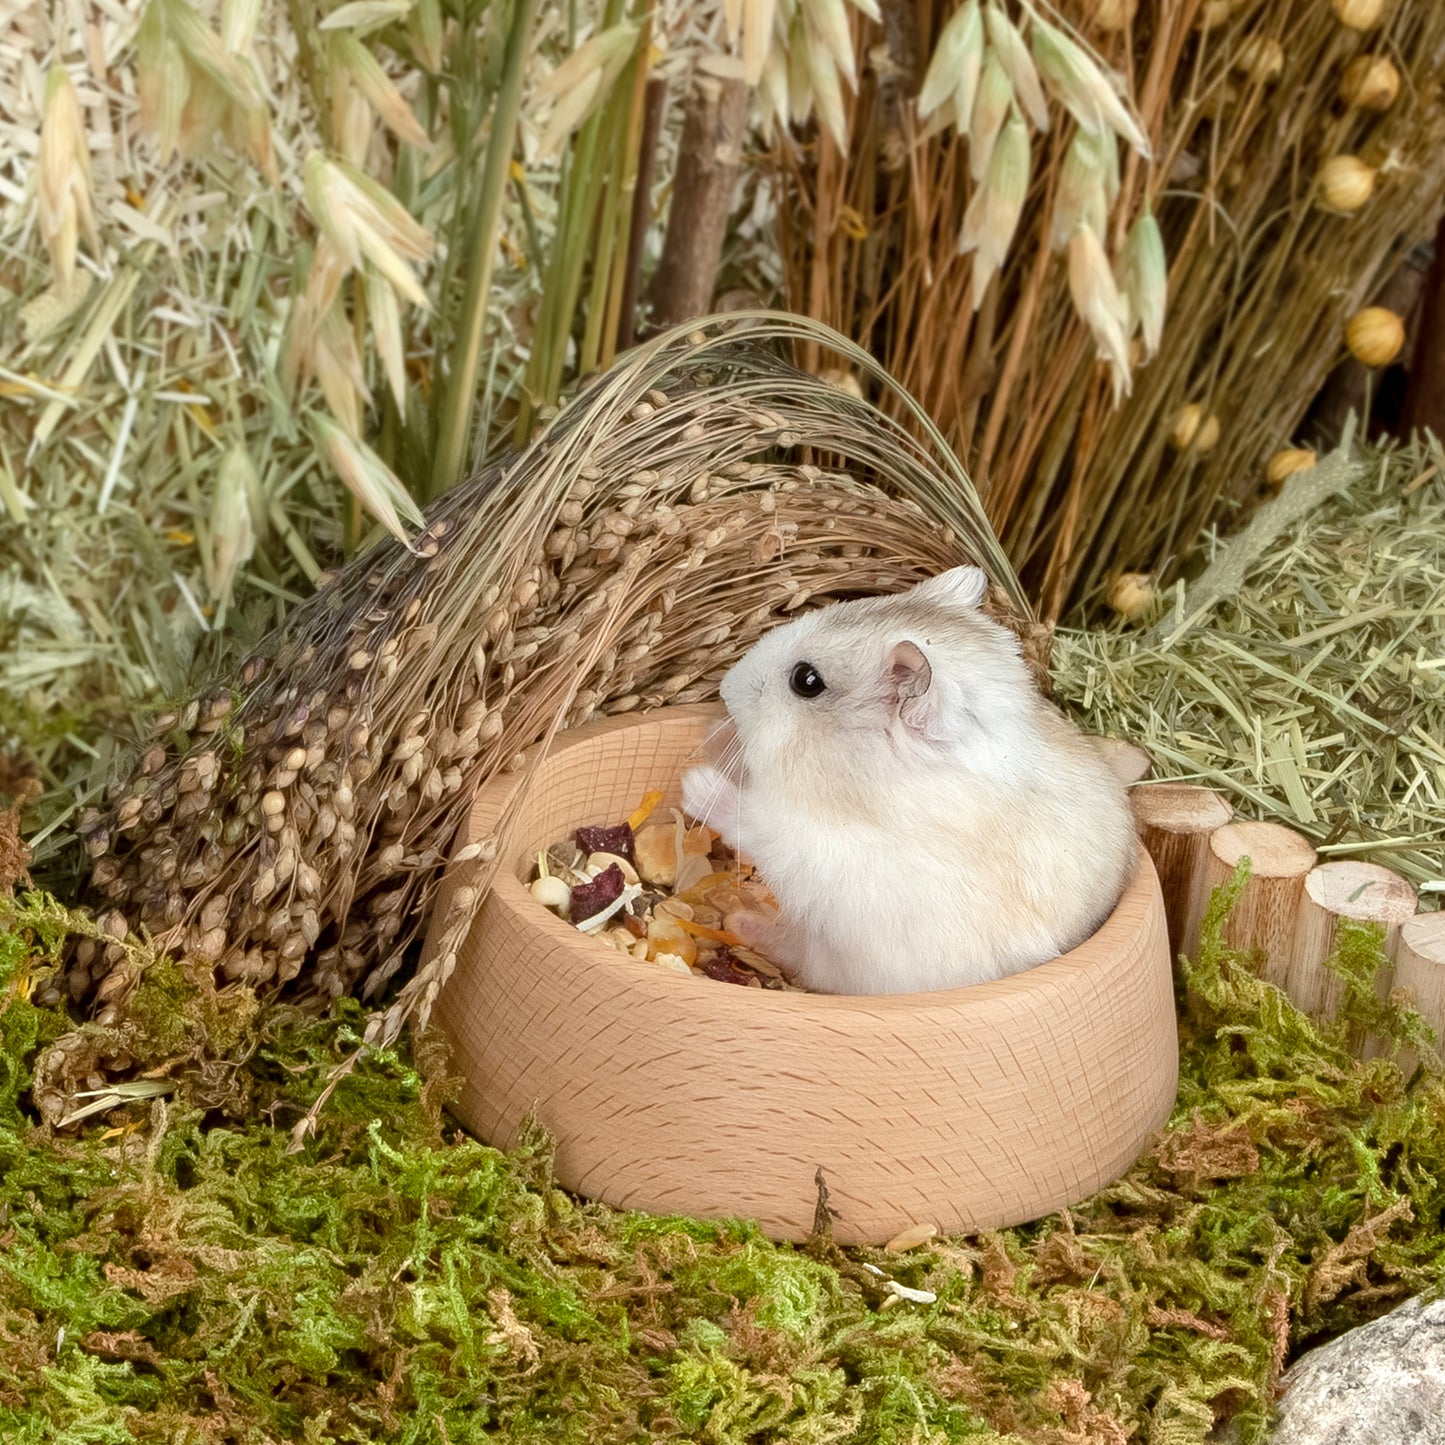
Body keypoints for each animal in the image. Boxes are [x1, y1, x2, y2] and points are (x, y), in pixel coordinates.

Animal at [676, 563, 1138, 994]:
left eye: (806, 681)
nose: (724, 687)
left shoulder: (843, 864)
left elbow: (766, 826)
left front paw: (696, 783)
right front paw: (713, 737)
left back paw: (742, 918)